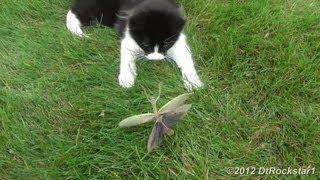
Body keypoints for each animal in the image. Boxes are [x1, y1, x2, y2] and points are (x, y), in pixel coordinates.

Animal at [66, 0, 204, 90]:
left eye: (166, 45)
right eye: (145, 44)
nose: (155, 59)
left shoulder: (179, 42)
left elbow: (187, 60)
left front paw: (194, 82)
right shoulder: (128, 35)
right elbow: (126, 57)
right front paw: (127, 78)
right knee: (74, 11)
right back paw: (79, 33)